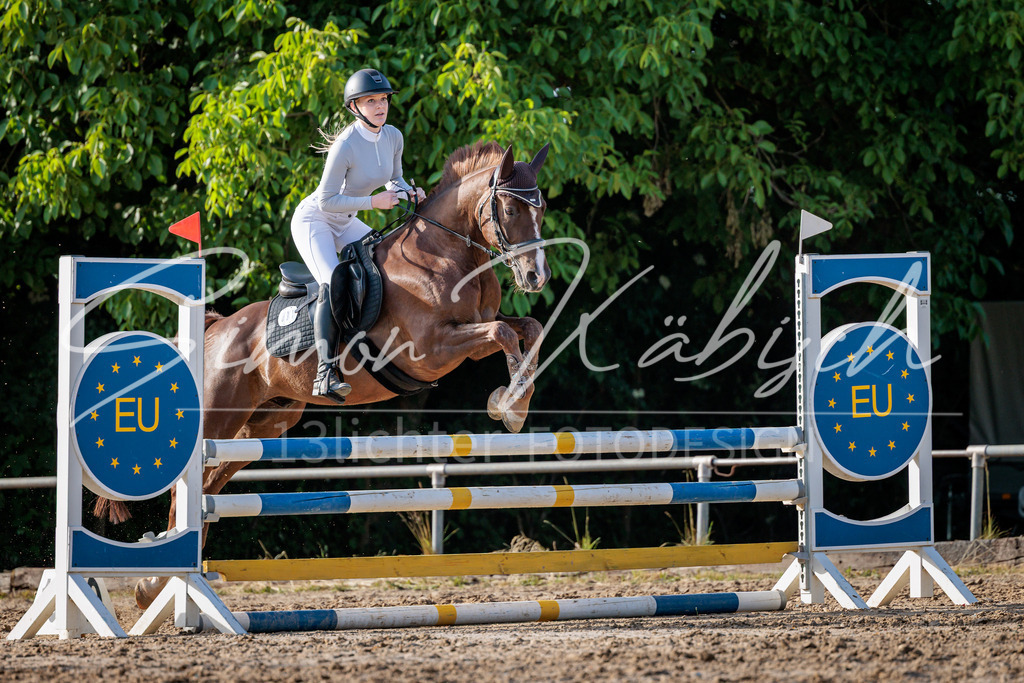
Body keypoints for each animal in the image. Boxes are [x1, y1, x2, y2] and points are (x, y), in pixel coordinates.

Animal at [121, 141, 553, 608]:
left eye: (542, 210)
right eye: (509, 209)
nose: (537, 277)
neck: (445, 254)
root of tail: (216, 329)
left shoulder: (474, 330)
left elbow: (528, 329)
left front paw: (516, 401)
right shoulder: (432, 349)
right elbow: (503, 334)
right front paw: (507, 404)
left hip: (266, 423)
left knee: (210, 486)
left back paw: (164, 578)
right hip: (220, 418)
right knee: (188, 487)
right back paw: (153, 582)